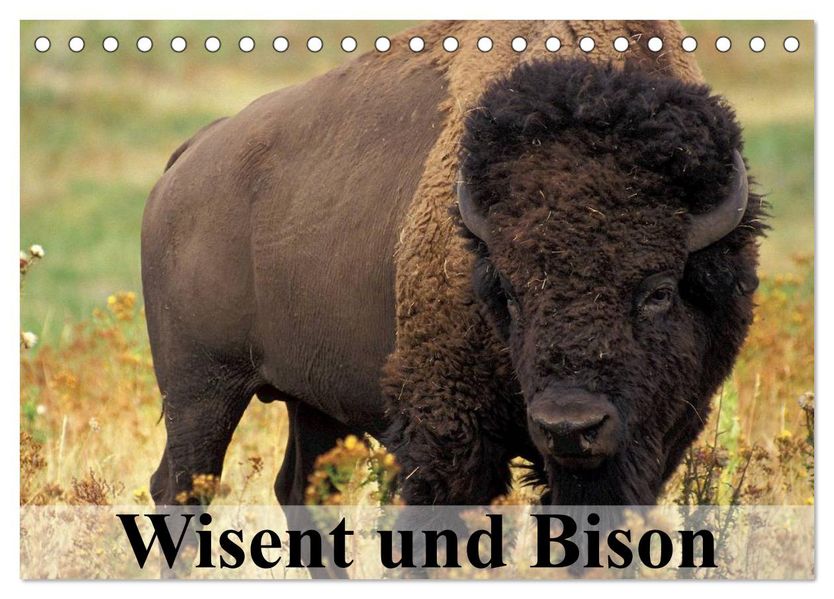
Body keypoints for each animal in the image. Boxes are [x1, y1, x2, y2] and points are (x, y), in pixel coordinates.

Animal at [142, 20, 764, 514]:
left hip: (311, 400)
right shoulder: (446, 433)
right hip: (200, 388)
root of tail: (188, 158)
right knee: (180, 487)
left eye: (659, 291)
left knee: (302, 491)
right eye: (508, 292)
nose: (570, 426)